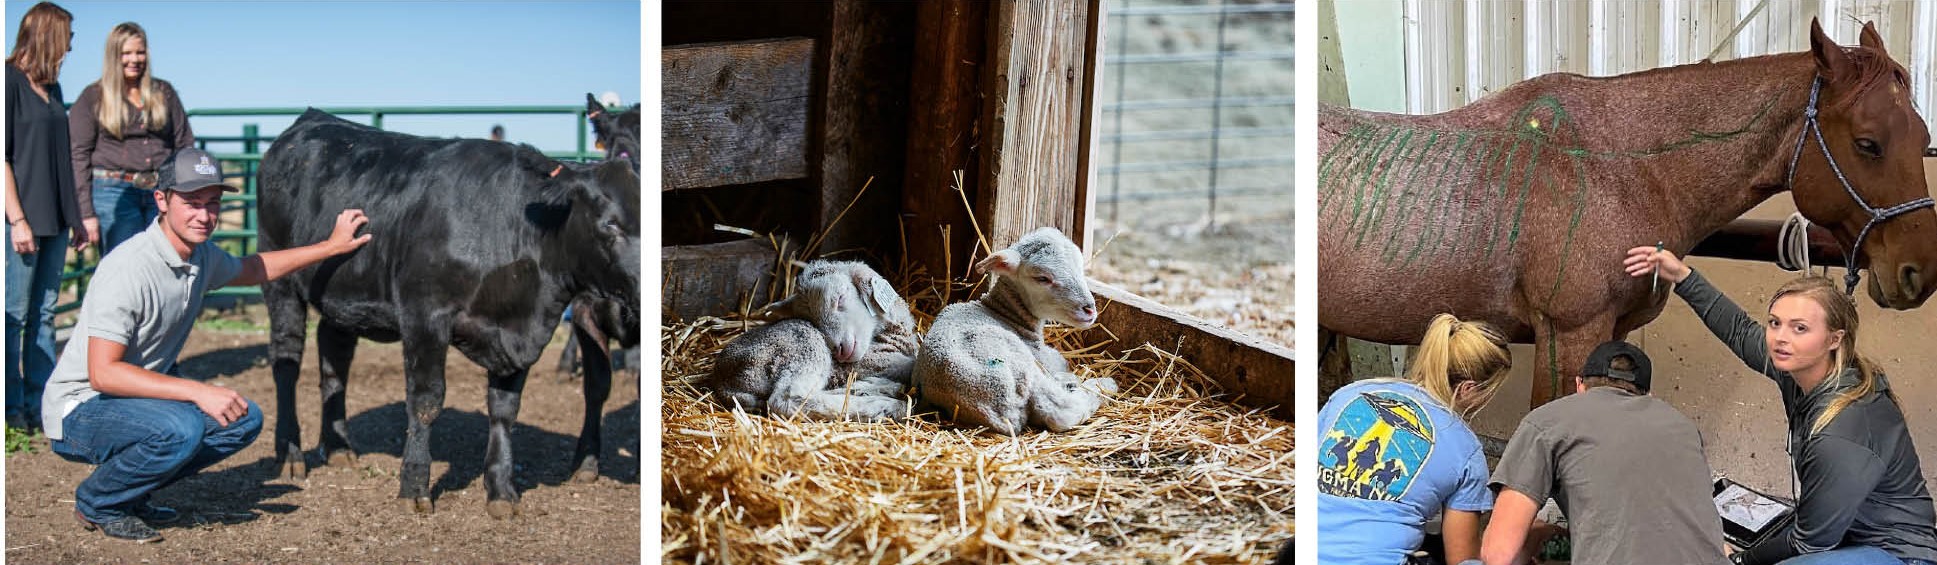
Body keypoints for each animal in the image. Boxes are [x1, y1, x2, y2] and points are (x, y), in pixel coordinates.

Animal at [259, 108, 643, 518]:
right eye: (609, 223)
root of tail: (309, 120)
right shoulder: (424, 315)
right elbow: (426, 401)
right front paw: (414, 486)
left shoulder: (518, 332)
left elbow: (504, 409)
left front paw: (501, 489)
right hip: (280, 283)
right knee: (286, 362)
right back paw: (290, 453)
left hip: (342, 295)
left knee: (334, 358)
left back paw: (339, 447)